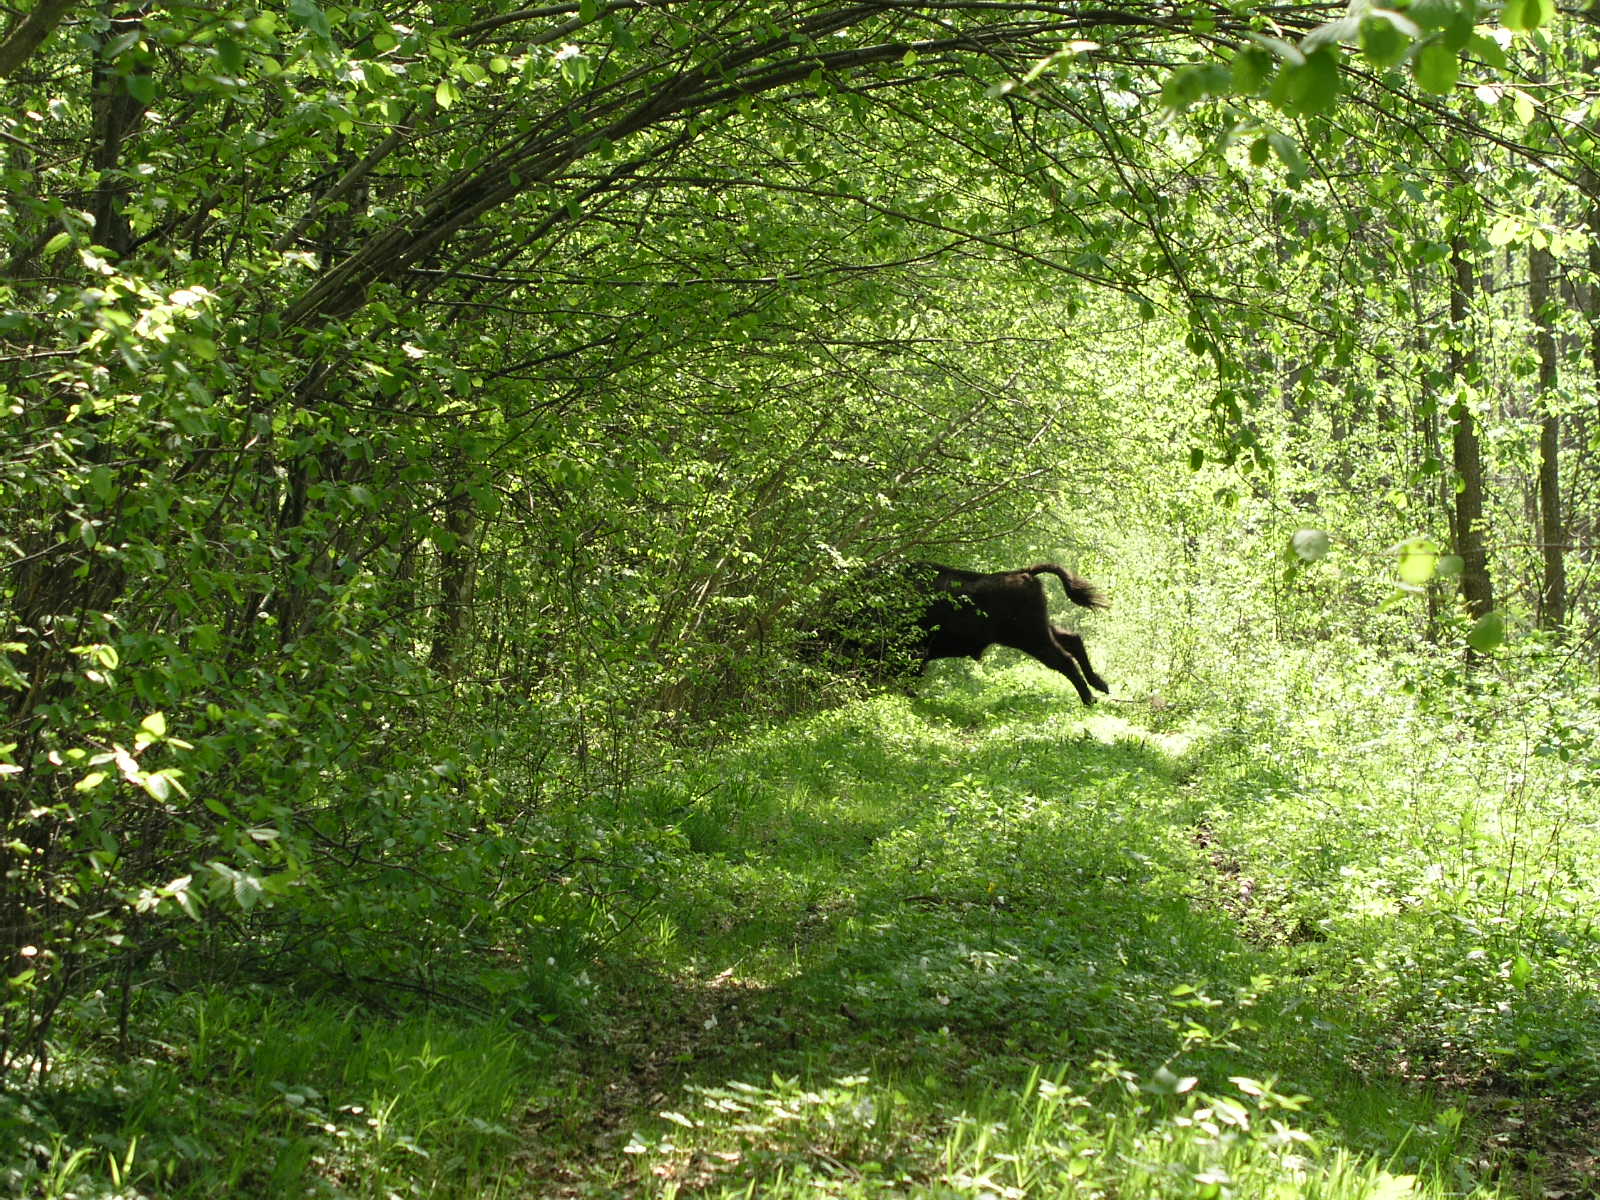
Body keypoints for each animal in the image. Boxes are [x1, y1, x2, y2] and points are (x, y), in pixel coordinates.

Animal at [819, 563, 1107, 704]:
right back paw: (1100, 685)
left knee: (1064, 660)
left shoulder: (915, 654)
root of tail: (1023, 573)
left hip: (1031, 638)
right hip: (1039, 630)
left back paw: (1089, 699)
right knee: (1072, 640)